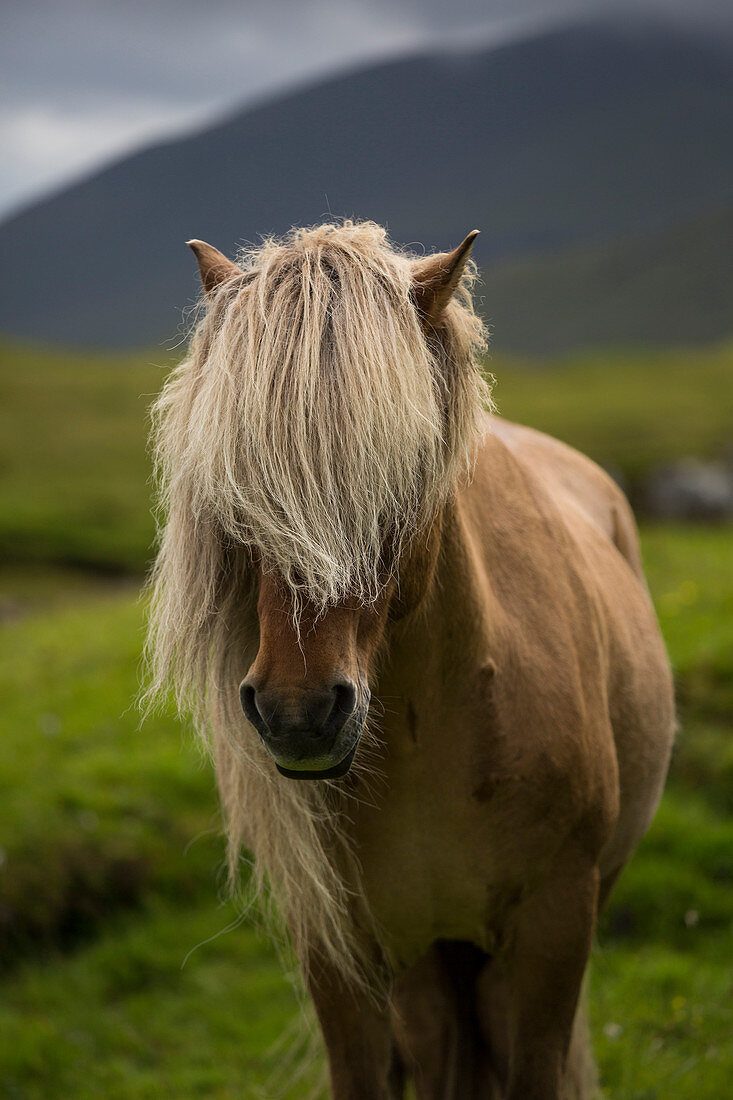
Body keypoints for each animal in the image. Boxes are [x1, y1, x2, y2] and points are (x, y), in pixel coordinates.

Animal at [147, 218, 673, 1095]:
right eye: (238, 488)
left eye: (397, 474)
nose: (297, 715)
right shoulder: (341, 953)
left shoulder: (553, 931)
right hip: (427, 965)